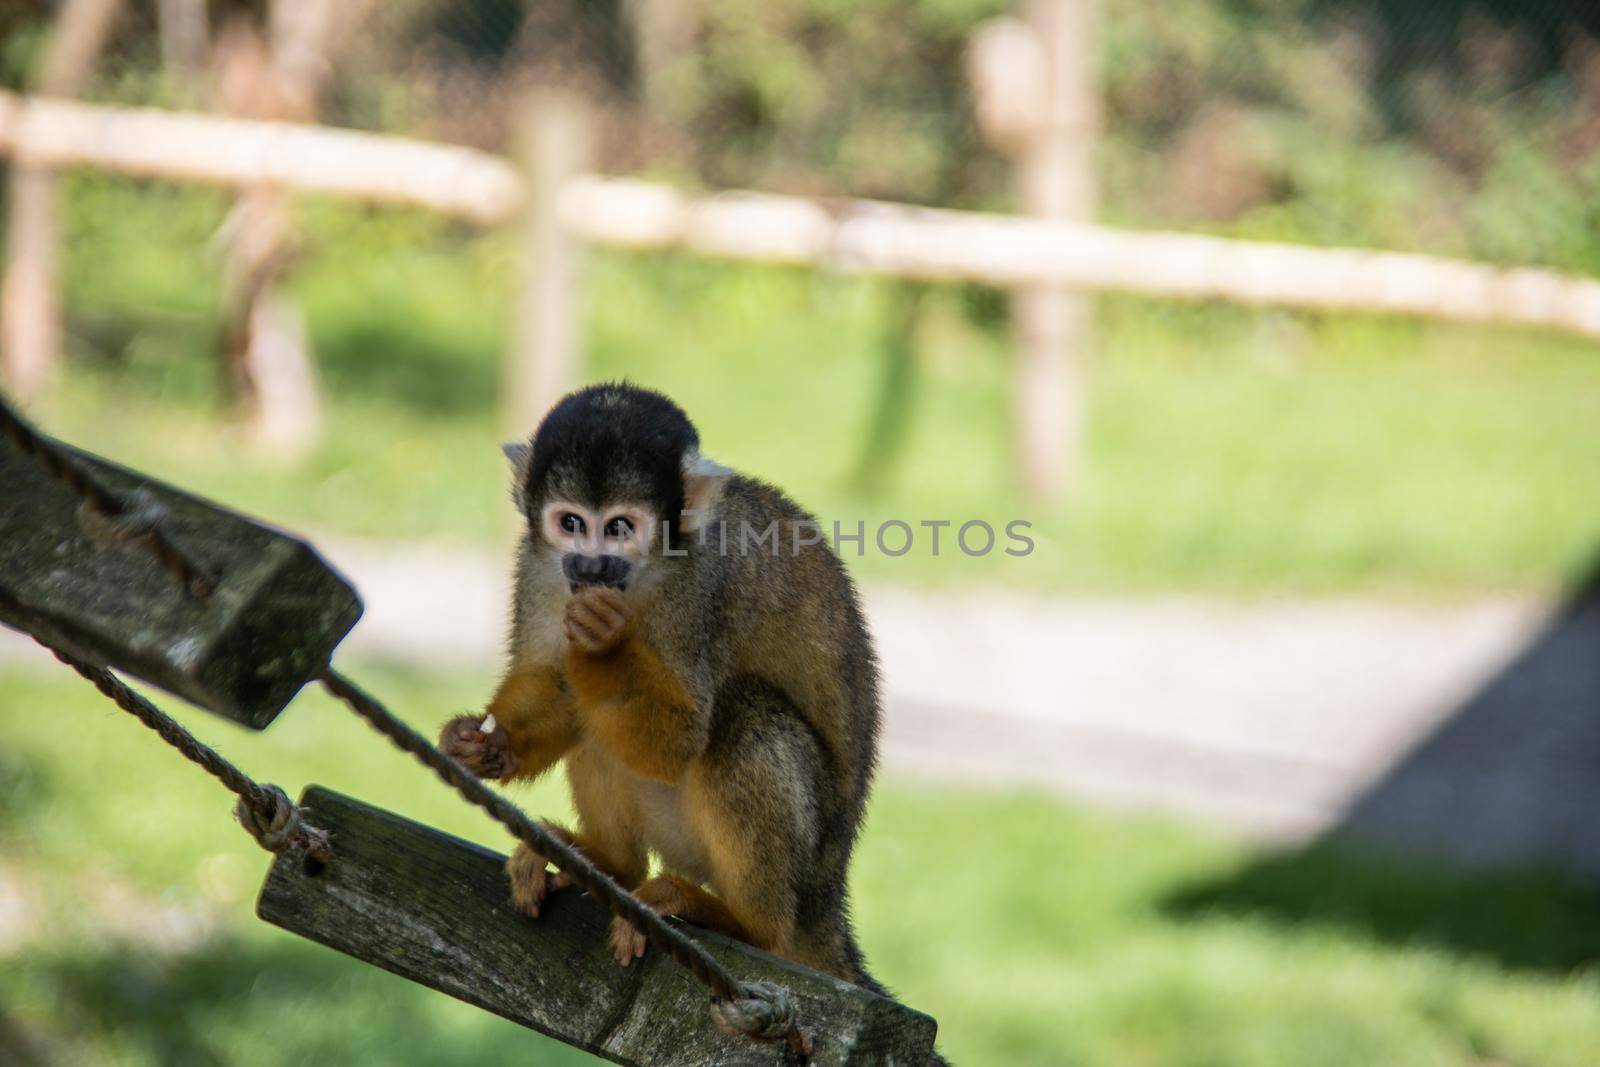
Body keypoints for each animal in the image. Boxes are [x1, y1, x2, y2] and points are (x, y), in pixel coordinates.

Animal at [441, 383, 889, 991]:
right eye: (572, 523)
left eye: (619, 528)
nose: (590, 568)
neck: (642, 577)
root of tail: (829, 896)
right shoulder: (535, 563)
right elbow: (557, 680)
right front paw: (489, 744)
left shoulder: (699, 587)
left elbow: (678, 739)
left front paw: (603, 646)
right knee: (598, 722)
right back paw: (610, 865)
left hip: (799, 861)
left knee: (741, 716)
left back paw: (744, 923)